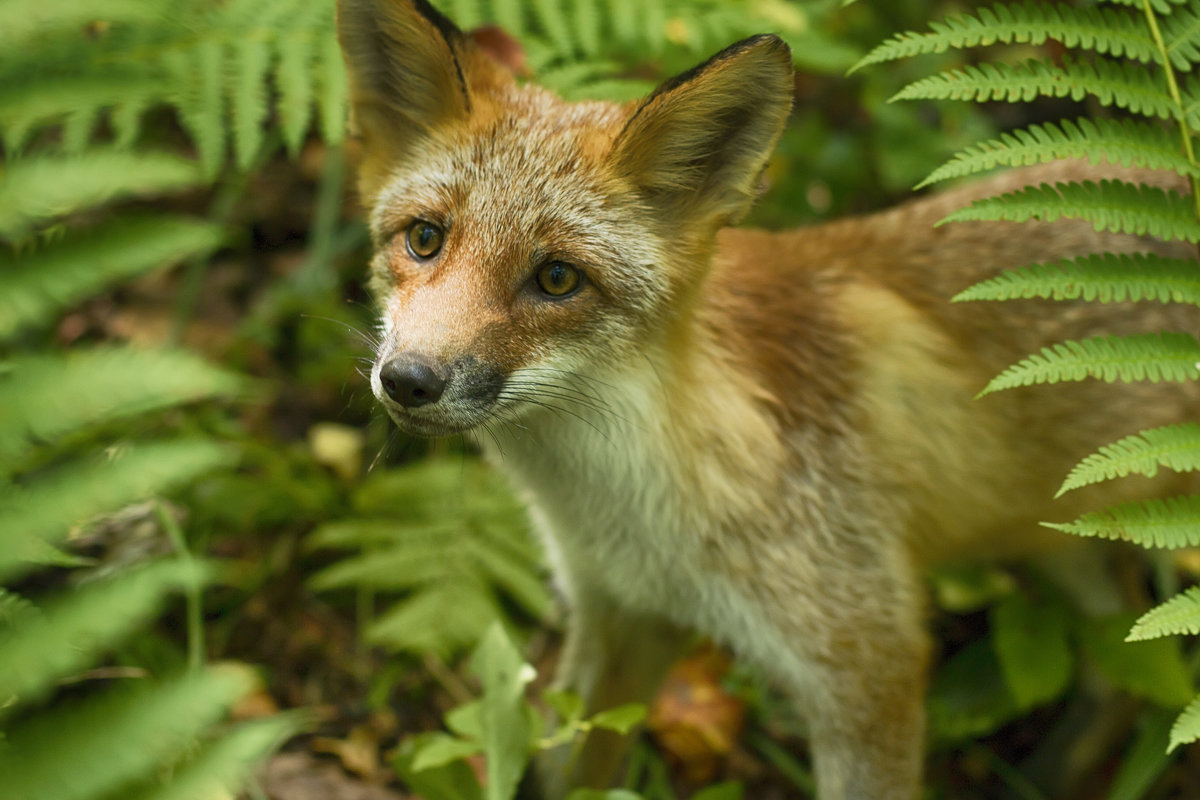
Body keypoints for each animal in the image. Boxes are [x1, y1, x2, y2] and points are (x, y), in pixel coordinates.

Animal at [336, 1, 1200, 800]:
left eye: (556, 278)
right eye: (424, 238)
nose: (409, 378)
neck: (641, 510)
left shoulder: (868, 661)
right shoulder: (620, 617)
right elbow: (572, 772)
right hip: (1070, 551)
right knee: (1125, 669)